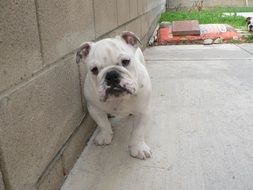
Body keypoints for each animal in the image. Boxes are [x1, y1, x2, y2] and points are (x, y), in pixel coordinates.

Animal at [76, 31, 152, 160]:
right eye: (94, 69)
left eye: (126, 61)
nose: (111, 75)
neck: (118, 98)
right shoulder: (94, 109)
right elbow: (103, 123)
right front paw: (105, 135)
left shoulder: (143, 111)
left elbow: (138, 131)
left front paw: (138, 148)